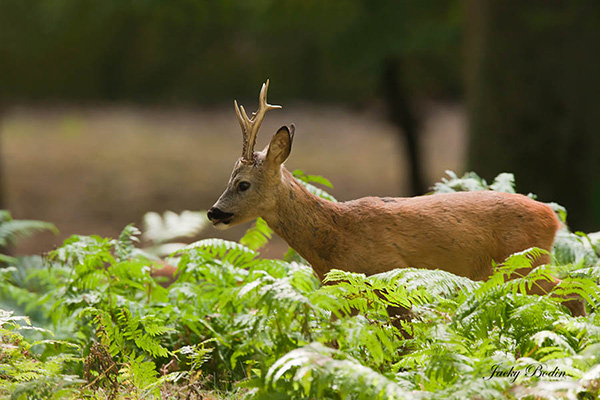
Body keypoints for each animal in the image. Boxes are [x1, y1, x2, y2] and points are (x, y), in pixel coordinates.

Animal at [207, 81, 584, 318]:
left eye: (242, 184)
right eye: (229, 180)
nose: (213, 212)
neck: (335, 237)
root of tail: (552, 217)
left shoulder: (389, 276)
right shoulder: (347, 291)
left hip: (525, 262)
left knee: (573, 294)